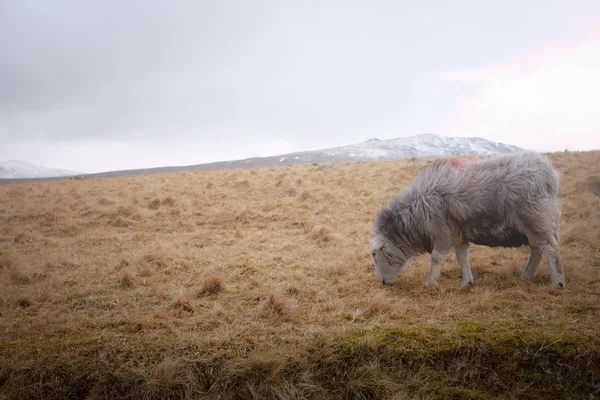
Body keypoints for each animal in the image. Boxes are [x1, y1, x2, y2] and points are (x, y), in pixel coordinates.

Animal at [368, 152, 564, 288]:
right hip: (537, 224)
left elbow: (436, 258)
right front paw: (467, 282)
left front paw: (430, 282)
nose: (382, 283)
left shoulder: (443, 234)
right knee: (537, 249)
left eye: (374, 255)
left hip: (536, 219)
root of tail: (550, 174)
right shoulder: (458, 234)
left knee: (550, 249)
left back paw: (558, 282)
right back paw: (526, 276)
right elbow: (462, 257)